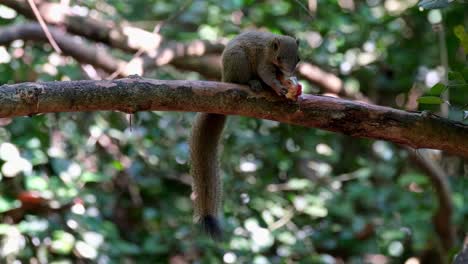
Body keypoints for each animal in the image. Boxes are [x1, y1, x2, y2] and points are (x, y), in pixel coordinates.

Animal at [189, 31, 300, 239]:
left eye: (298, 58)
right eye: (280, 57)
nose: (290, 72)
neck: (271, 48)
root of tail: (225, 77)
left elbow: (278, 77)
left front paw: (288, 83)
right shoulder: (264, 61)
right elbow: (268, 75)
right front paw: (278, 87)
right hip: (238, 61)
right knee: (241, 80)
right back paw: (253, 83)